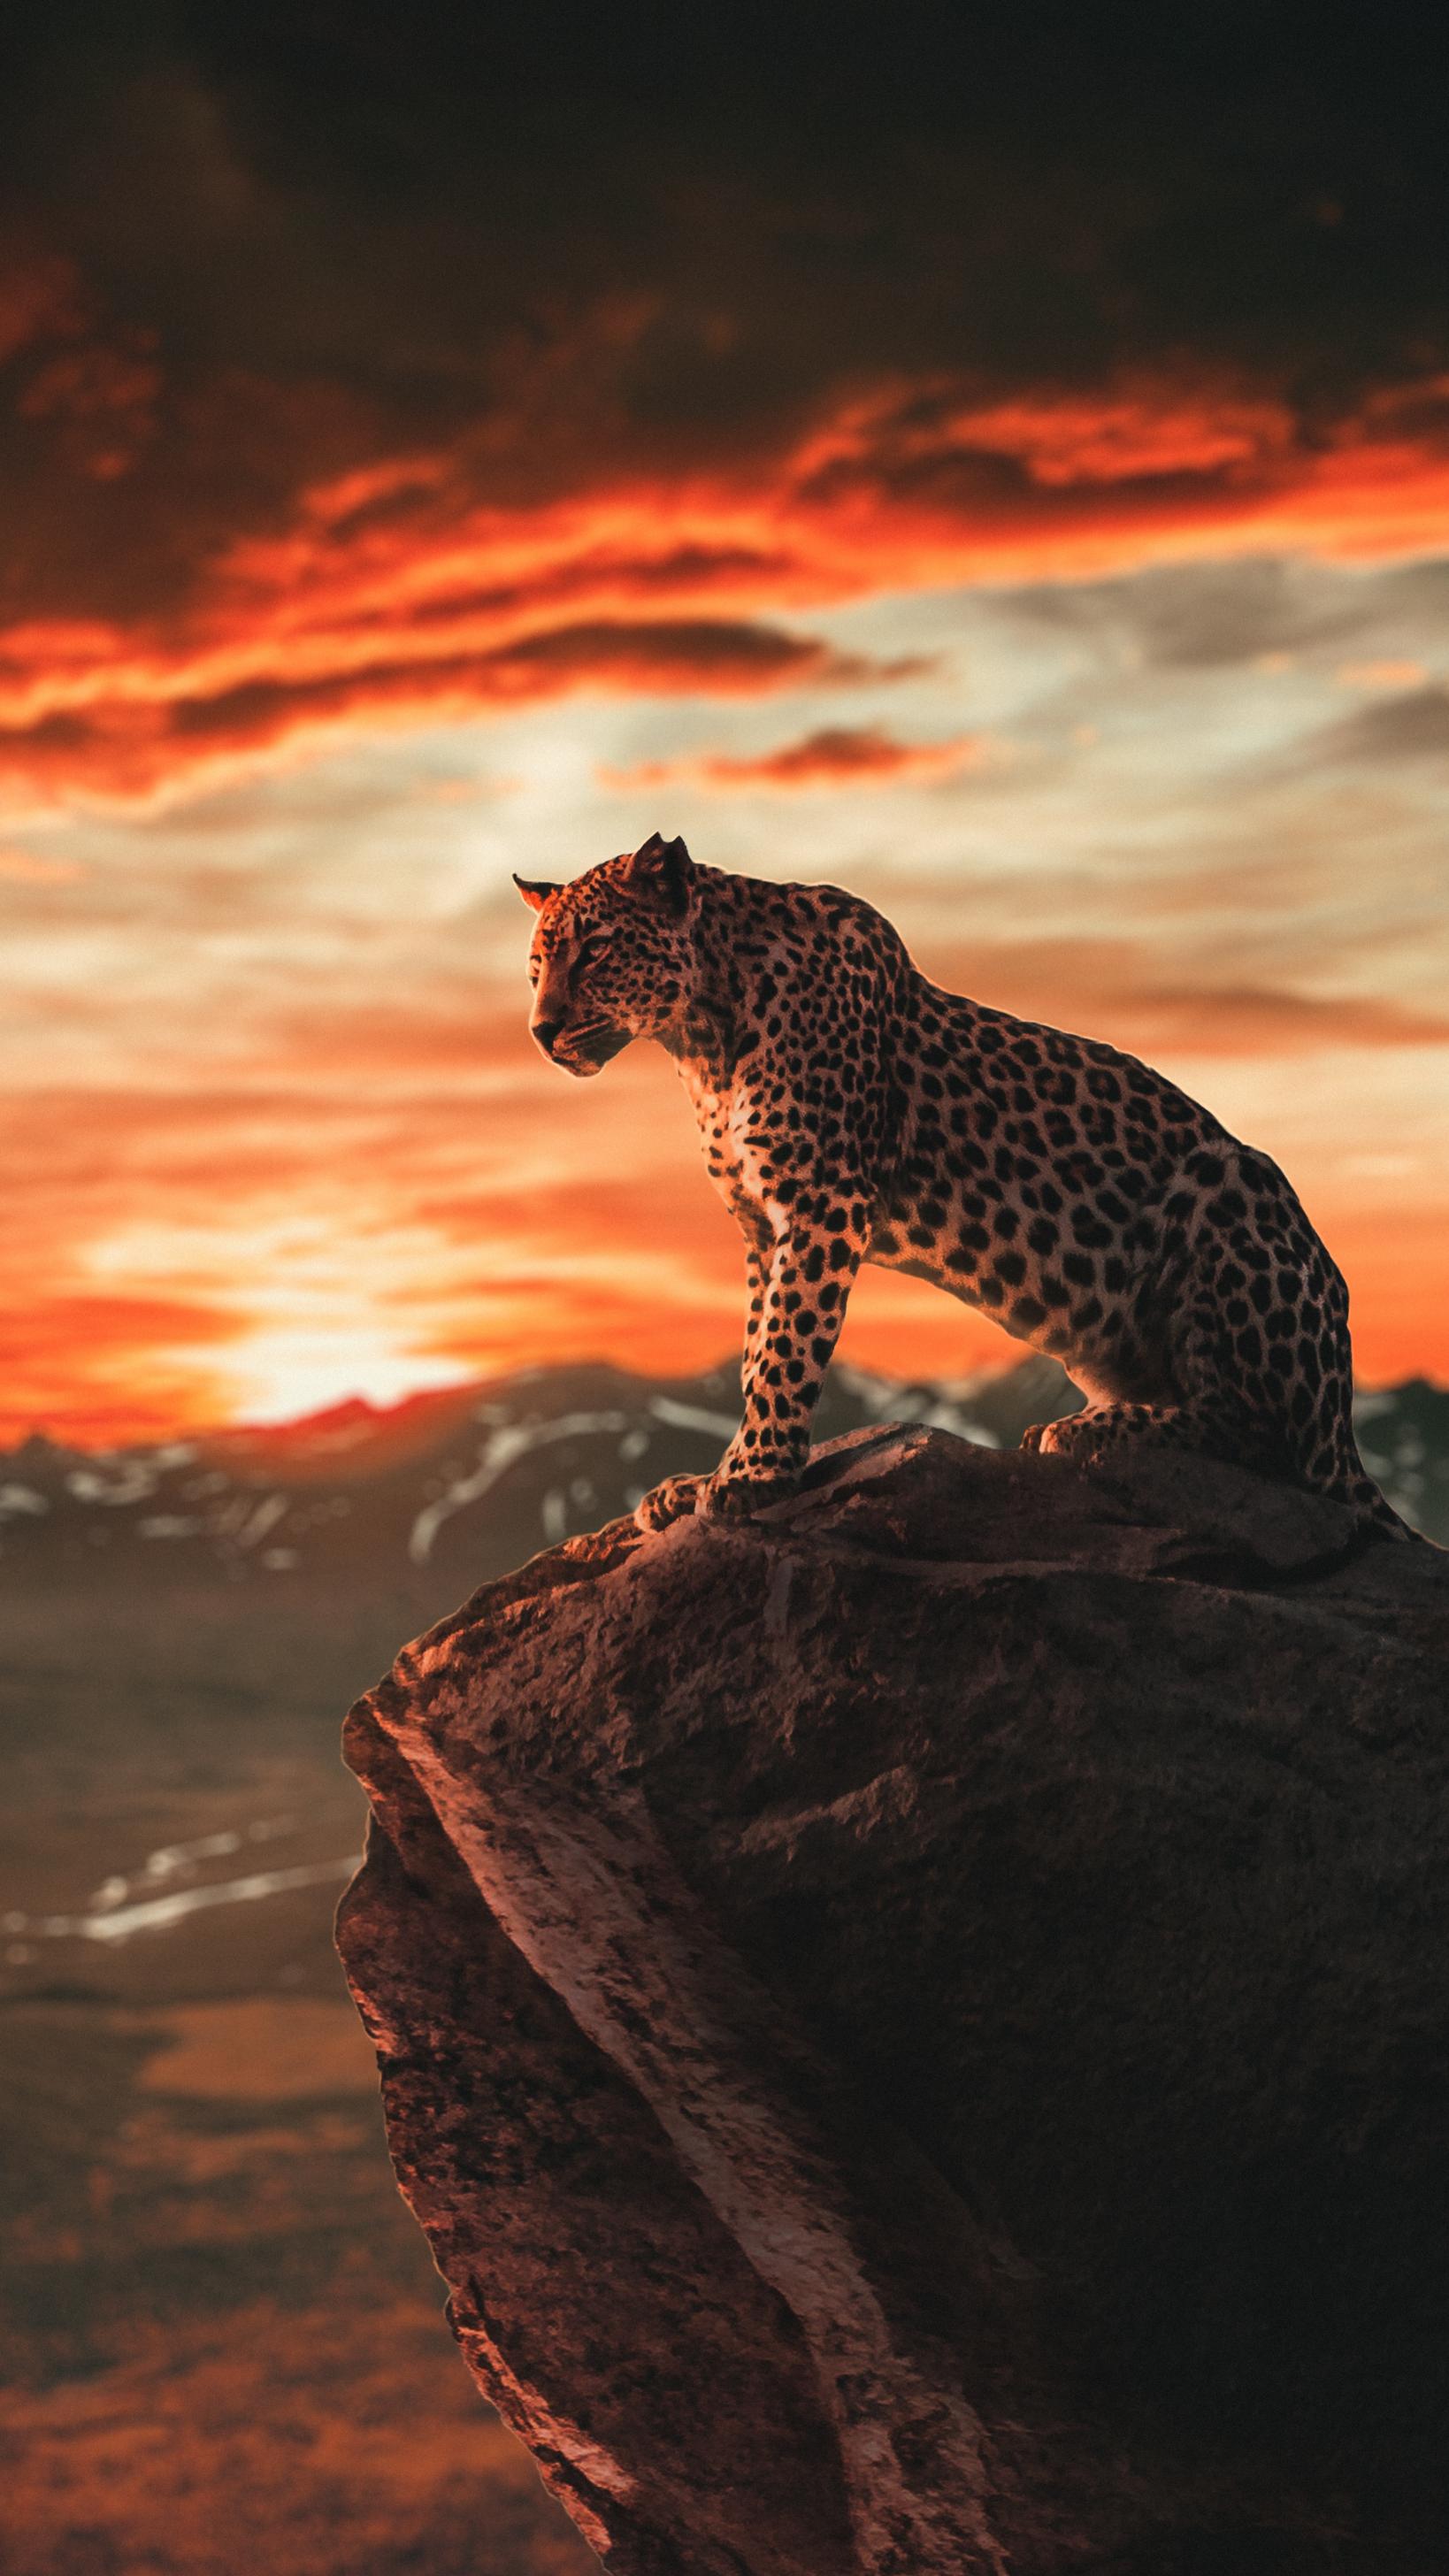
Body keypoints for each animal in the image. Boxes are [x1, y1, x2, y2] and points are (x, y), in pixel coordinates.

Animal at [516, 832, 1410, 1540]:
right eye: (536, 967)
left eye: (595, 950)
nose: (540, 1031)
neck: (701, 1039)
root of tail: (1343, 1419)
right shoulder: (759, 1227)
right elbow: (752, 1348)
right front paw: (713, 1474)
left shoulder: (822, 1202)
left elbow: (784, 1348)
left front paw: (751, 1477)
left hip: (1233, 1182)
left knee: (1264, 1438)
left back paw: (1090, 1432)